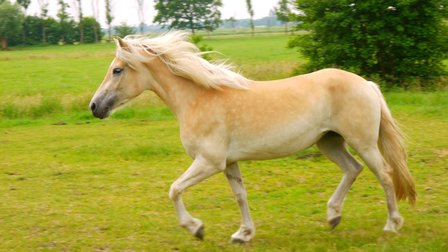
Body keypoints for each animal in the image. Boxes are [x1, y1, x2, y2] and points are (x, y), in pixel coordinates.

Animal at [89, 31, 414, 242]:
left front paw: (196, 229)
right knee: (352, 169)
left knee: (385, 174)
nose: (94, 107)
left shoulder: (209, 162)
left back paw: (392, 225)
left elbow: (174, 189)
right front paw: (243, 234)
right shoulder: (229, 163)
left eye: (117, 70)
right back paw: (333, 217)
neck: (198, 99)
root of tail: (366, 84)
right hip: (329, 142)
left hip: (363, 143)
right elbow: (240, 195)